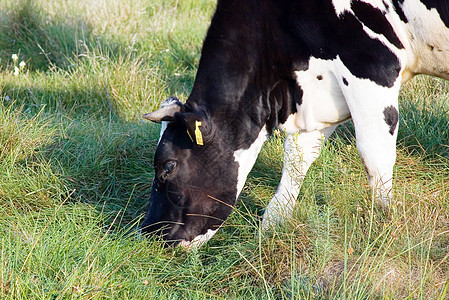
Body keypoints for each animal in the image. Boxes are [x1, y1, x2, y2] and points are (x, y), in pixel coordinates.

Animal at [142, 0, 448, 248]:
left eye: (168, 166)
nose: (149, 235)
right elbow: (297, 159)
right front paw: (272, 223)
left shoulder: (370, 62)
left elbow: (374, 153)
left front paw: (383, 222)